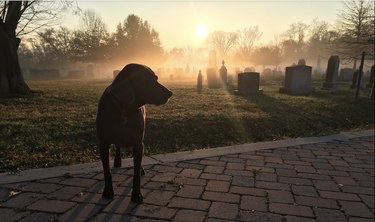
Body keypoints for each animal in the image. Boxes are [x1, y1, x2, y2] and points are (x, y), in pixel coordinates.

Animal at [97, 62, 173, 203]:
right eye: (147, 80)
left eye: (156, 78)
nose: (170, 93)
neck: (124, 109)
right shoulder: (103, 144)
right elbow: (107, 172)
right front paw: (108, 191)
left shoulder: (138, 143)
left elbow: (136, 172)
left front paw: (136, 194)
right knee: (117, 146)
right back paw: (117, 161)